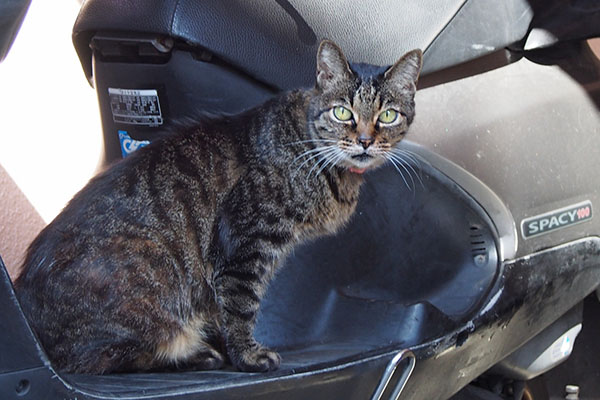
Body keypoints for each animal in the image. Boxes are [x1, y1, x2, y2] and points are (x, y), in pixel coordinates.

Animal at [11, 39, 420, 374]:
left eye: (387, 115)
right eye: (342, 113)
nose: (365, 140)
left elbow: (228, 308)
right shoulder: (246, 244)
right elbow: (241, 306)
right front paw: (248, 356)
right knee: (102, 358)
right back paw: (193, 354)